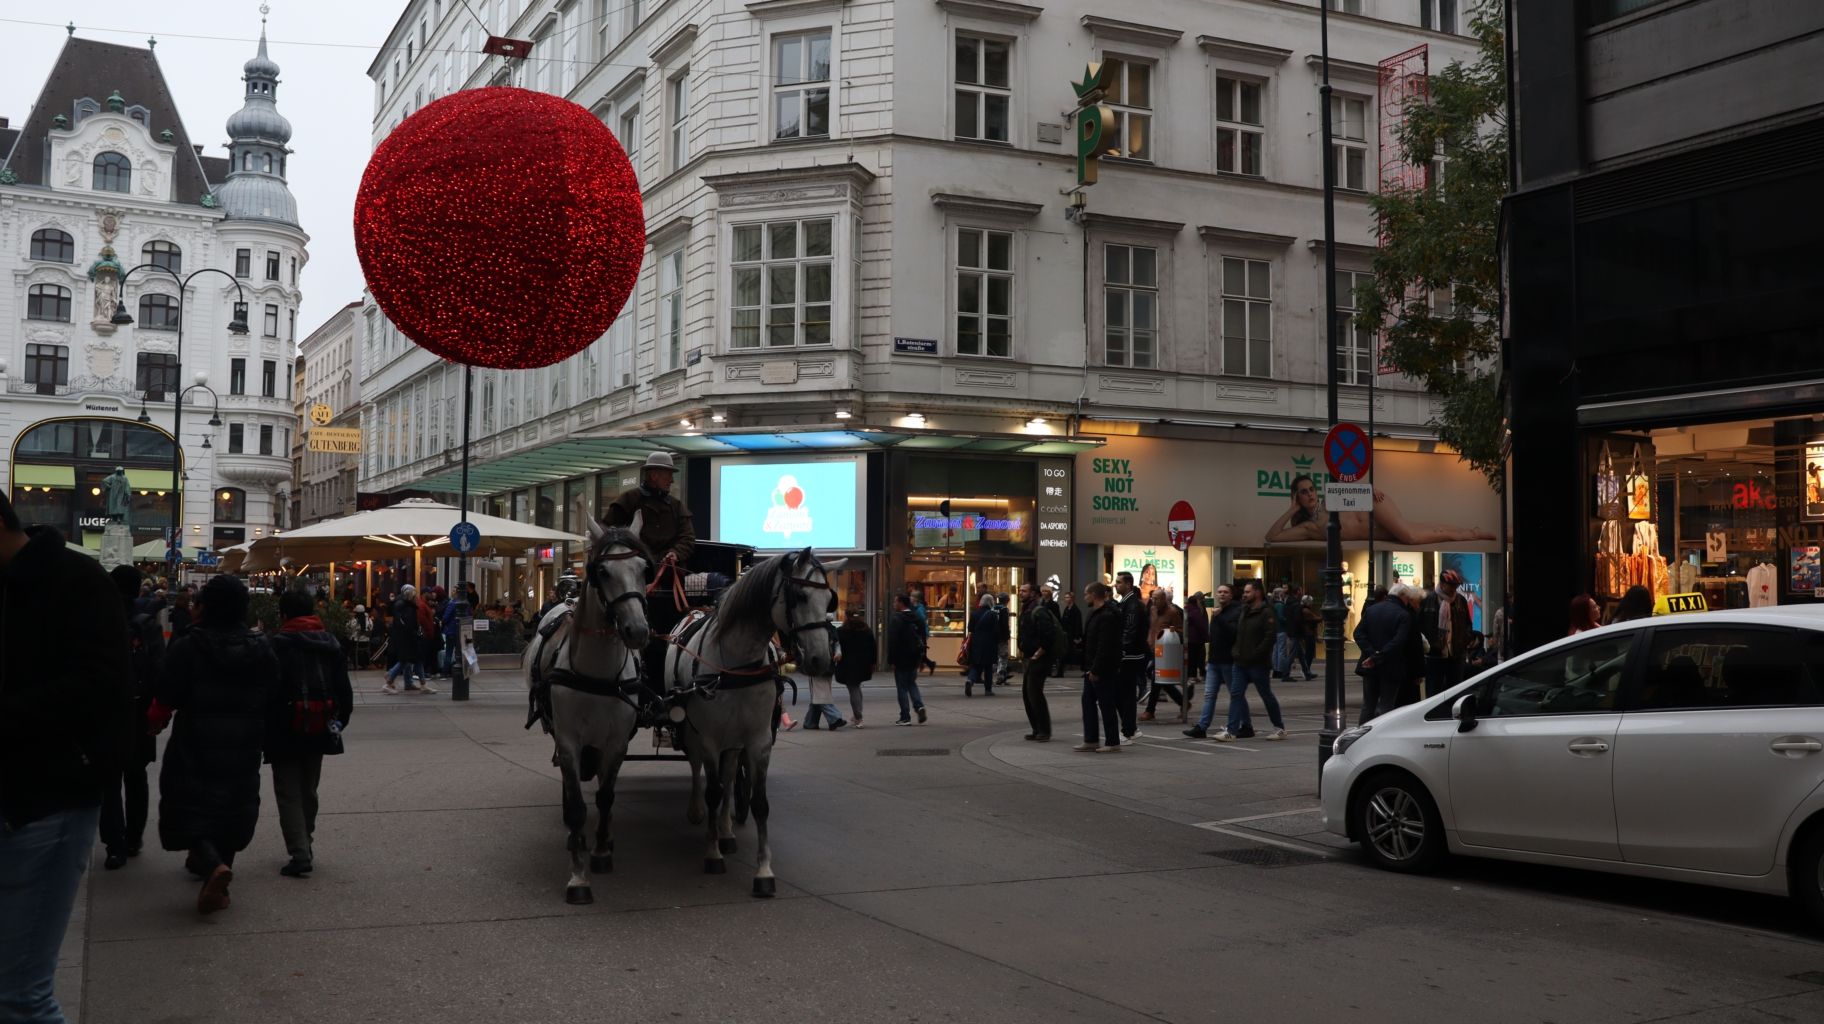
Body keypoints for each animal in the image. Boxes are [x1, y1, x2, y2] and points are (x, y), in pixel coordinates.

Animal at [525, 515, 653, 905]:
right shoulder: (569, 741)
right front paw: (578, 876)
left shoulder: (616, 742)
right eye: (602, 571)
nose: (637, 630)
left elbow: (606, 796)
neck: (598, 671)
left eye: (644, 568)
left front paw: (600, 851)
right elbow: (577, 806)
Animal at [661, 547, 841, 897]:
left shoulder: (758, 740)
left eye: (830, 600)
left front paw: (763, 871)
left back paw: (727, 832)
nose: (821, 660)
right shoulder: (709, 737)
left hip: (734, 740)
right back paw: (697, 812)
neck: (736, 664)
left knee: (730, 775)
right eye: (799, 596)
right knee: (696, 766)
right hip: (691, 729)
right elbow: (712, 791)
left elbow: (758, 803)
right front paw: (712, 854)